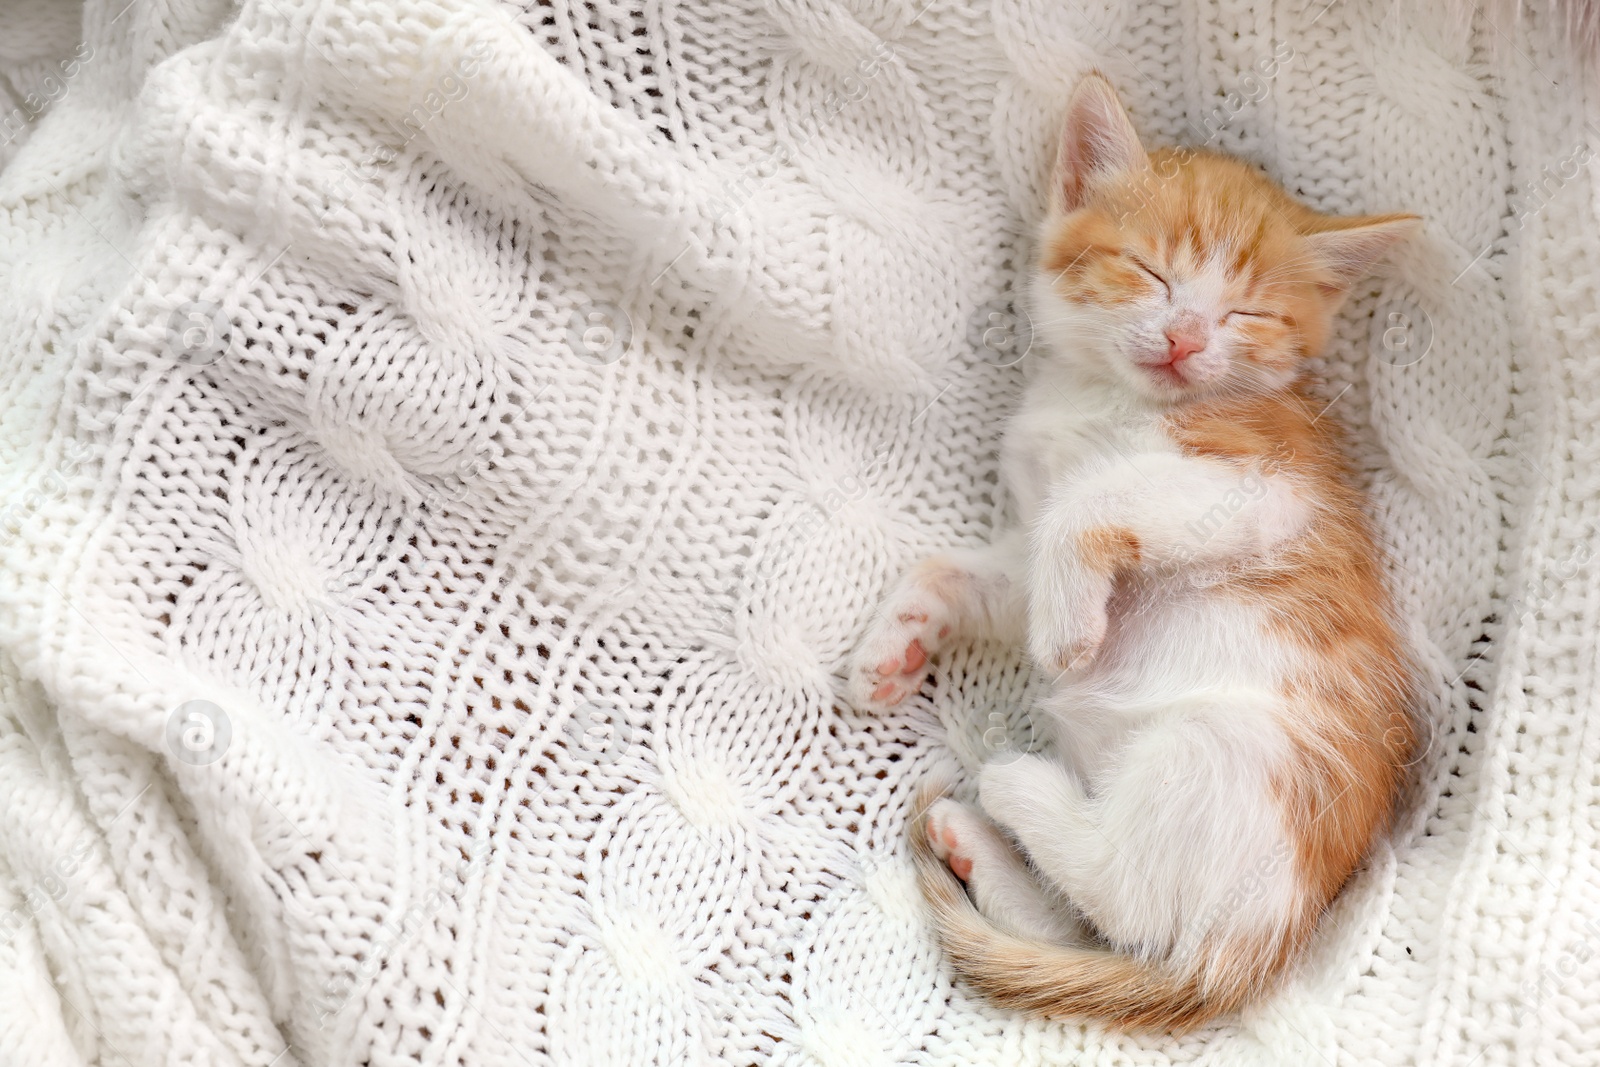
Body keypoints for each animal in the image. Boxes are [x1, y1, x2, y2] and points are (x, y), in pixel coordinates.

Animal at [851, 70, 1427, 1030]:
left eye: (1246, 311)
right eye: (1150, 269)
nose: (1187, 336)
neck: (1102, 395)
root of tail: (1249, 956)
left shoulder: (1266, 488)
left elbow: (1093, 499)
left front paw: (1066, 635)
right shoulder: (1024, 540)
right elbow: (969, 567)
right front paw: (891, 645)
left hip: (1223, 754)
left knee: (1124, 889)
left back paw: (1017, 786)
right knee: (1093, 933)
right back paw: (975, 848)